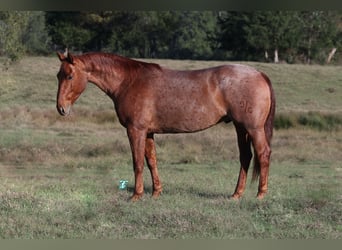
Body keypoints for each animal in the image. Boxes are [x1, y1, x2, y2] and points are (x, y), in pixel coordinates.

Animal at [56, 52, 276, 201]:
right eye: (58, 75)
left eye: (69, 76)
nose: (61, 108)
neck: (128, 81)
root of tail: (259, 74)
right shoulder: (148, 132)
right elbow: (151, 161)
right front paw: (156, 192)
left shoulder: (135, 130)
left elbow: (138, 163)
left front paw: (136, 195)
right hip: (240, 128)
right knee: (246, 157)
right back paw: (236, 194)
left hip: (253, 128)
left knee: (263, 154)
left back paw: (260, 194)